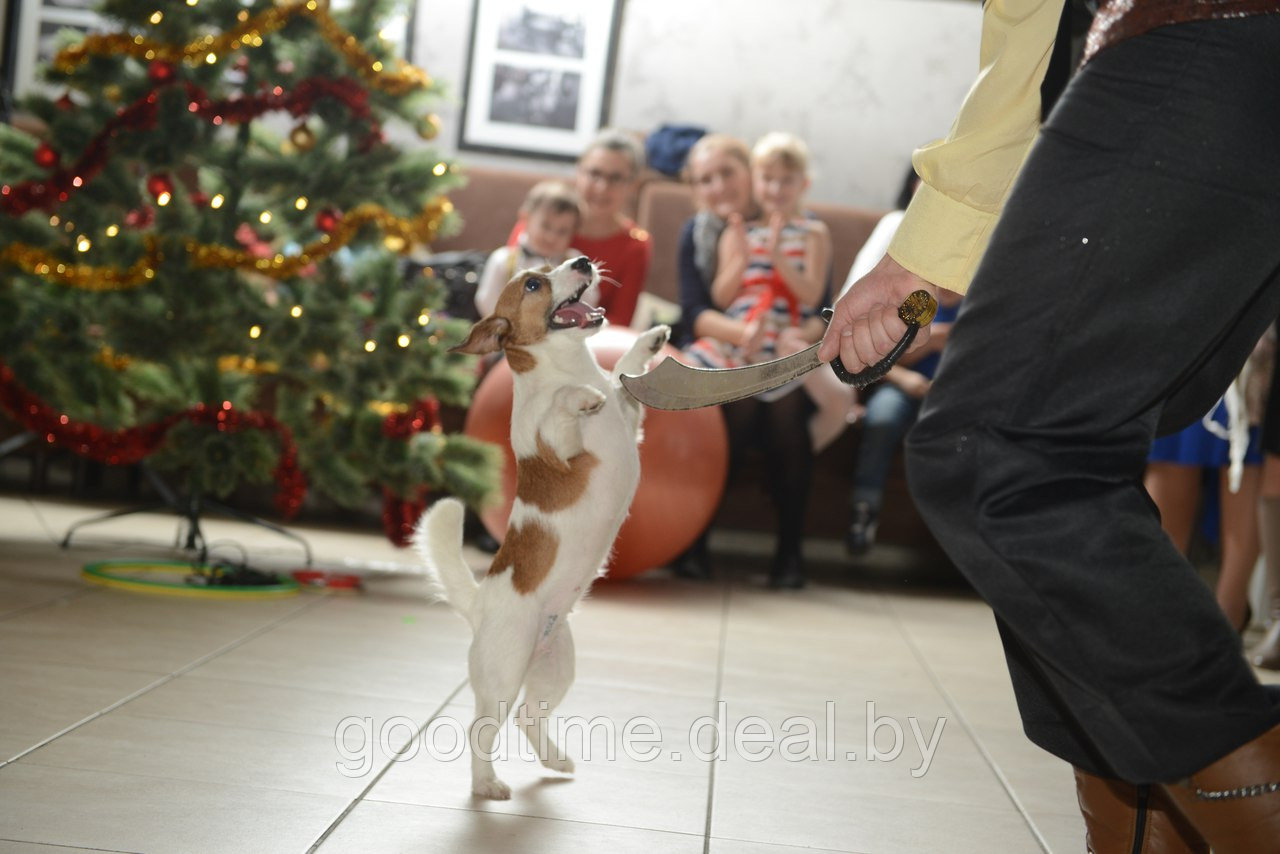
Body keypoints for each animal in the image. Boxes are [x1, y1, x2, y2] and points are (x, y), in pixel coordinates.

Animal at [414, 256, 670, 804]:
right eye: (533, 283)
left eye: (559, 264)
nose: (582, 261)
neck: (570, 366)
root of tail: (480, 604)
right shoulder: (559, 444)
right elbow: (561, 407)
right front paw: (580, 396)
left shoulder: (630, 417)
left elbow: (623, 375)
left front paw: (648, 342)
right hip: (504, 674)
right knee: (481, 729)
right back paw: (486, 784)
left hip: (555, 667)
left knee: (530, 717)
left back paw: (555, 760)